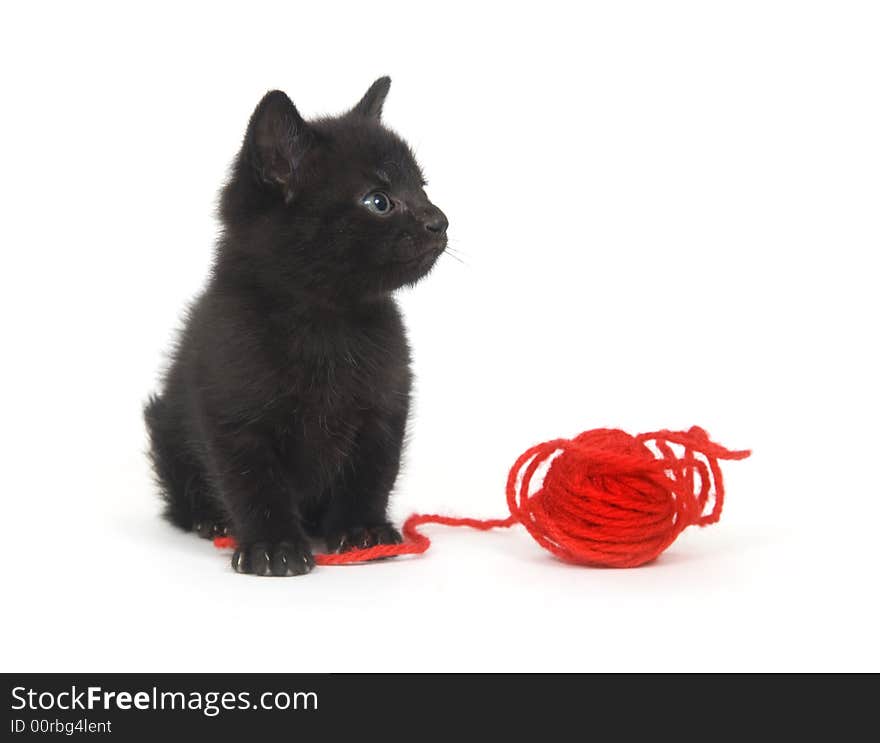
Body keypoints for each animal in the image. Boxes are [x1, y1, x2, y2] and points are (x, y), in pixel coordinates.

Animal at [146, 78, 446, 576]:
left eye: (423, 188)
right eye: (379, 201)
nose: (439, 221)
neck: (325, 323)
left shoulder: (384, 404)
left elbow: (371, 472)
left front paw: (363, 529)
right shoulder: (233, 413)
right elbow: (252, 482)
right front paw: (272, 546)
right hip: (164, 423)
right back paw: (210, 520)